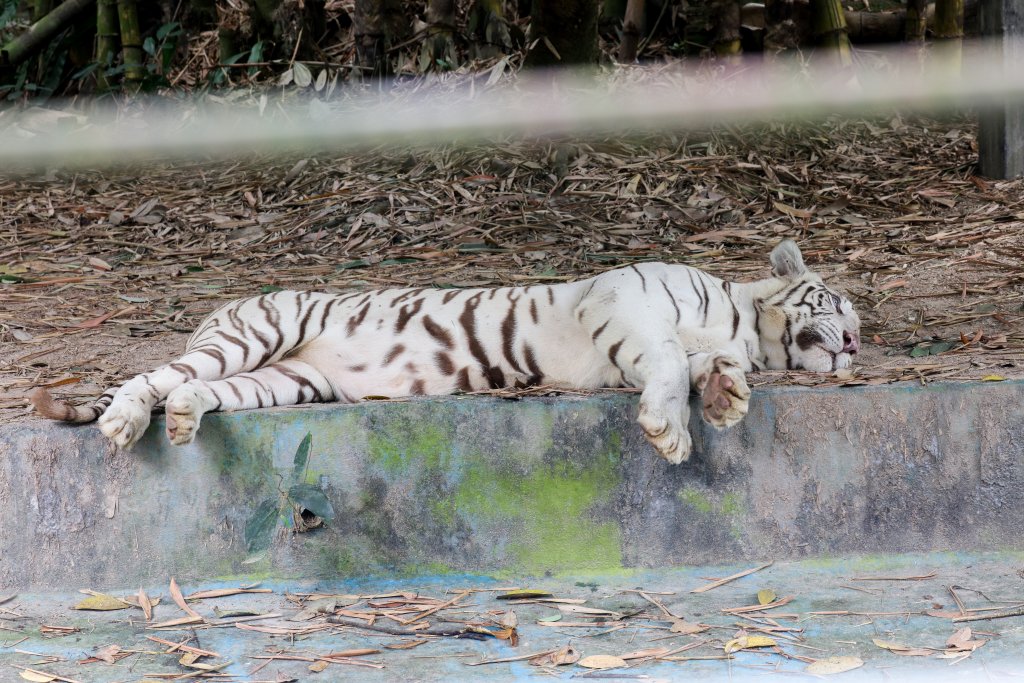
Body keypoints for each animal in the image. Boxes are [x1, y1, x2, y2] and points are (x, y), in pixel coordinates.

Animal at [30, 240, 860, 464]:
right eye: (838, 304)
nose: (855, 345)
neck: (748, 323)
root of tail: (223, 302)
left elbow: (703, 368)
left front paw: (724, 397)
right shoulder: (623, 306)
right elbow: (663, 364)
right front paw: (674, 429)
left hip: (286, 381)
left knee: (196, 390)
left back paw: (178, 420)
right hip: (253, 334)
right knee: (153, 373)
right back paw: (126, 421)